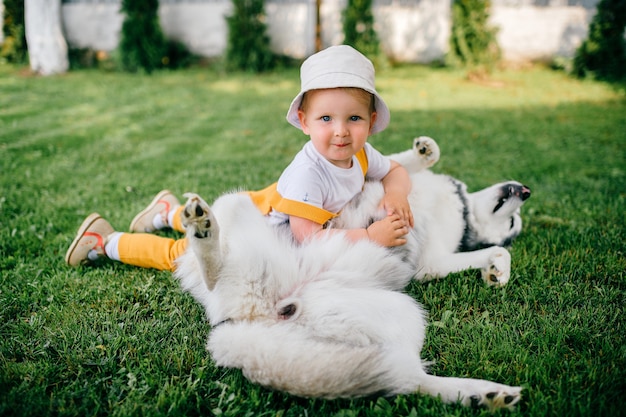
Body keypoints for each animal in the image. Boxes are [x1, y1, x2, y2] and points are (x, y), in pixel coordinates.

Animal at [172, 139, 528, 410]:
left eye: (512, 225)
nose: (525, 190)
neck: (463, 212)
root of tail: (255, 317)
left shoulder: (434, 263)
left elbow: (498, 252)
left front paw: (497, 272)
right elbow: (399, 165)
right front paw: (424, 151)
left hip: (404, 314)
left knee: (411, 381)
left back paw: (484, 395)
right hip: (235, 202)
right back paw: (203, 227)